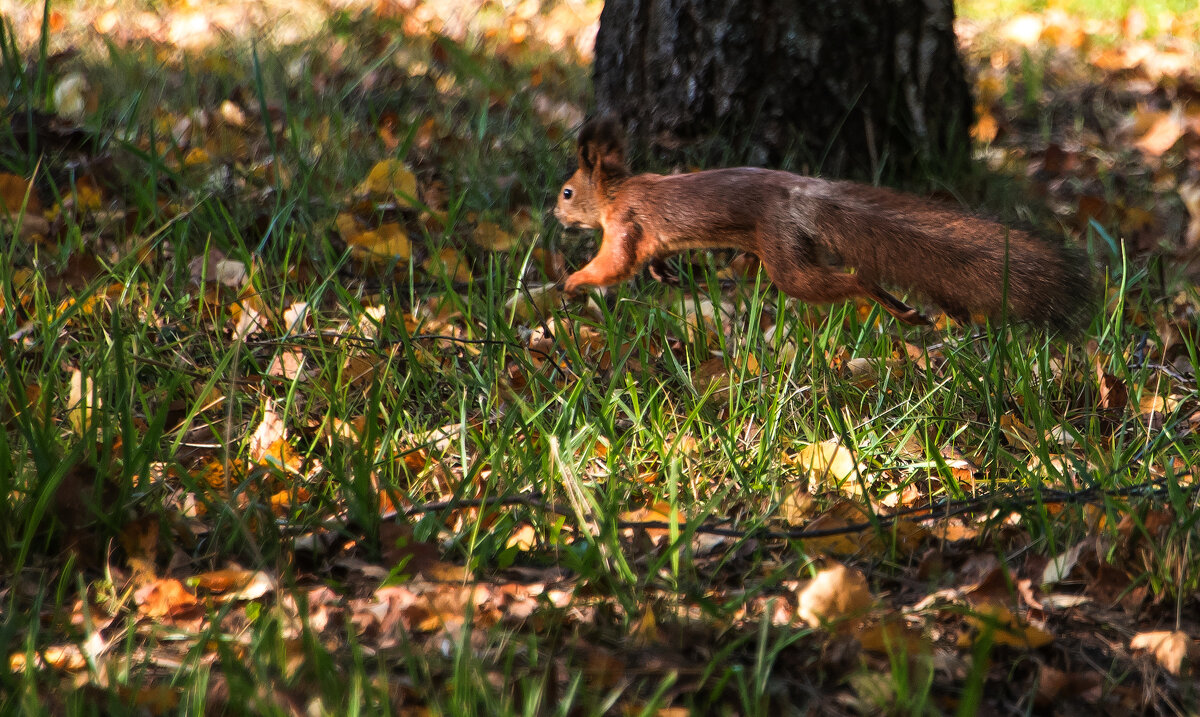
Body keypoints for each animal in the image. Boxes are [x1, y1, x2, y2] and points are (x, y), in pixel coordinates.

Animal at [556, 118, 1094, 330]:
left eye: (566, 192)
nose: (556, 214)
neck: (616, 191)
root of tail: (803, 195)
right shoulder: (648, 234)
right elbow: (649, 258)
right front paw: (664, 275)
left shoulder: (625, 223)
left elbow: (614, 263)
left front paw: (572, 282)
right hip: (787, 244)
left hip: (787, 260)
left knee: (845, 280)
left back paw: (891, 304)